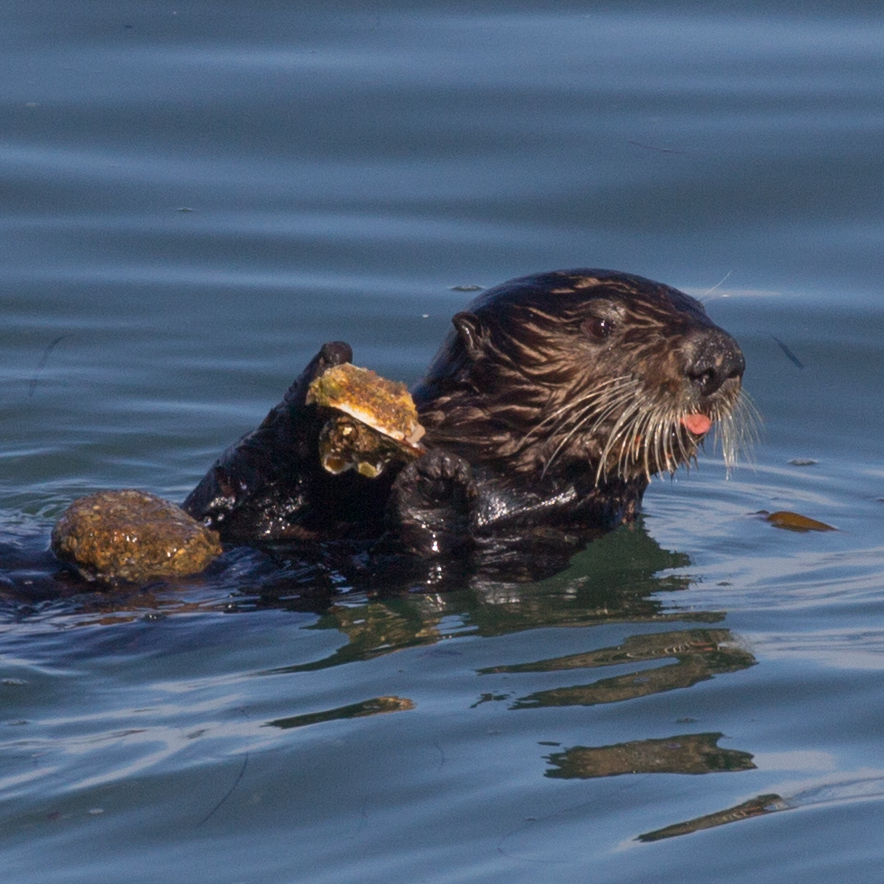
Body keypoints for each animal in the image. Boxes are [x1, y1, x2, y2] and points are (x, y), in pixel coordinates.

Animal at [183, 270, 747, 569]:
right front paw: (320, 376)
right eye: (601, 325)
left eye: (700, 311)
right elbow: (219, 509)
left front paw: (435, 484)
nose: (720, 358)